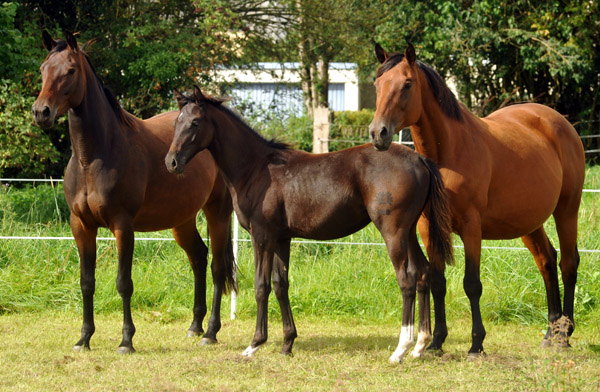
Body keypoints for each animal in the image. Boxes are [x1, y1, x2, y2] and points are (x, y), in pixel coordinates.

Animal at [31, 32, 236, 354]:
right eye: (43, 69)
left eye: (71, 71)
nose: (41, 112)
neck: (94, 157)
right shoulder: (81, 225)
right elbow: (86, 282)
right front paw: (84, 339)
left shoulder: (123, 226)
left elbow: (123, 283)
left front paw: (126, 340)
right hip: (182, 220)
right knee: (199, 258)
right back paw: (195, 326)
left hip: (218, 212)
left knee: (217, 266)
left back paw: (211, 332)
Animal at [162, 86, 452, 362]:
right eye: (176, 121)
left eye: (195, 122)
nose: (171, 162)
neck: (257, 169)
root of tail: (419, 159)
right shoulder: (281, 238)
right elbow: (281, 285)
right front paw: (287, 344)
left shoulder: (262, 237)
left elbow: (261, 286)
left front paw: (254, 344)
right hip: (409, 231)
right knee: (423, 272)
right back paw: (420, 345)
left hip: (393, 232)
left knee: (407, 279)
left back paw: (401, 349)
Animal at [368, 43, 584, 356]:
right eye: (377, 84)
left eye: (407, 84)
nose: (378, 133)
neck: (450, 152)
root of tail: (560, 122)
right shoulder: (429, 228)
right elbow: (437, 282)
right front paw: (437, 342)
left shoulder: (472, 227)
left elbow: (471, 284)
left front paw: (476, 343)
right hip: (530, 222)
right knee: (546, 260)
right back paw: (550, 332)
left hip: (567, 209)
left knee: (568, 264)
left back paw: (564, 335)